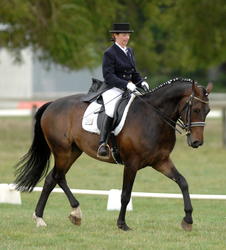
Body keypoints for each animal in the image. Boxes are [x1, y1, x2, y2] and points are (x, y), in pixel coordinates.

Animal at [14, 77, 214, 230]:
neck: (154, 117)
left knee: (56, 177)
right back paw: (42, 218)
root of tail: (51, 104)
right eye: (196, 109)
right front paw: (122, 224)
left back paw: (71, 214)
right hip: (62, 151)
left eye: (208, 111)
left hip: (73, 151)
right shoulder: (132, 164)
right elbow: (125, 194)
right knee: (54, 178)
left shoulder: (161, 161)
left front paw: (188, 220)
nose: (196, 142)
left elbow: (183, 182)